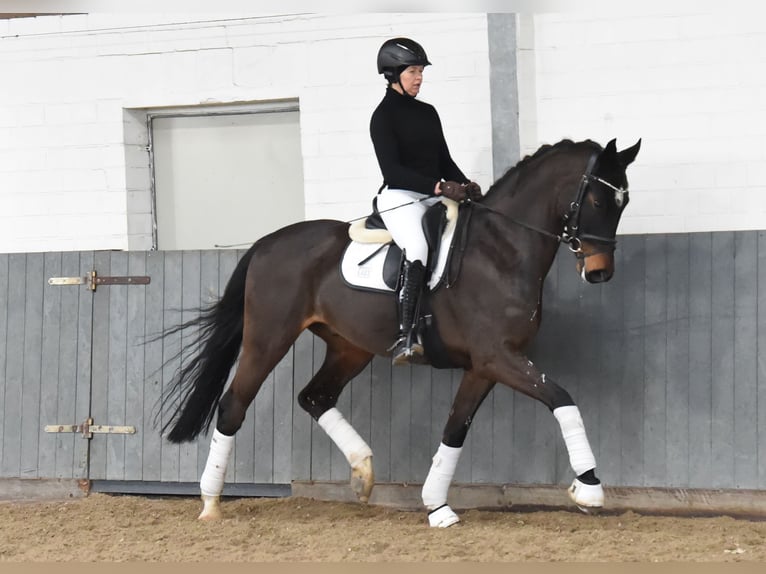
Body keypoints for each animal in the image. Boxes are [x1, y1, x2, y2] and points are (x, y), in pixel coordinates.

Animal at [159, 137, 644, 528]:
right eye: (598, 202)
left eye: (623, 203)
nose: (600, 273)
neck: (500, 251)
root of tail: (266, 243)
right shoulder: (499, 357)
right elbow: (562, 398)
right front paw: (589, 487)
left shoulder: (484, 366)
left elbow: (455, 429)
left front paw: (437, 506)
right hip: (268, 338)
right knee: (233, 406)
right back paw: (210, 503)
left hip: (349, 347)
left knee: (314, 397)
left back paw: (363, 474)